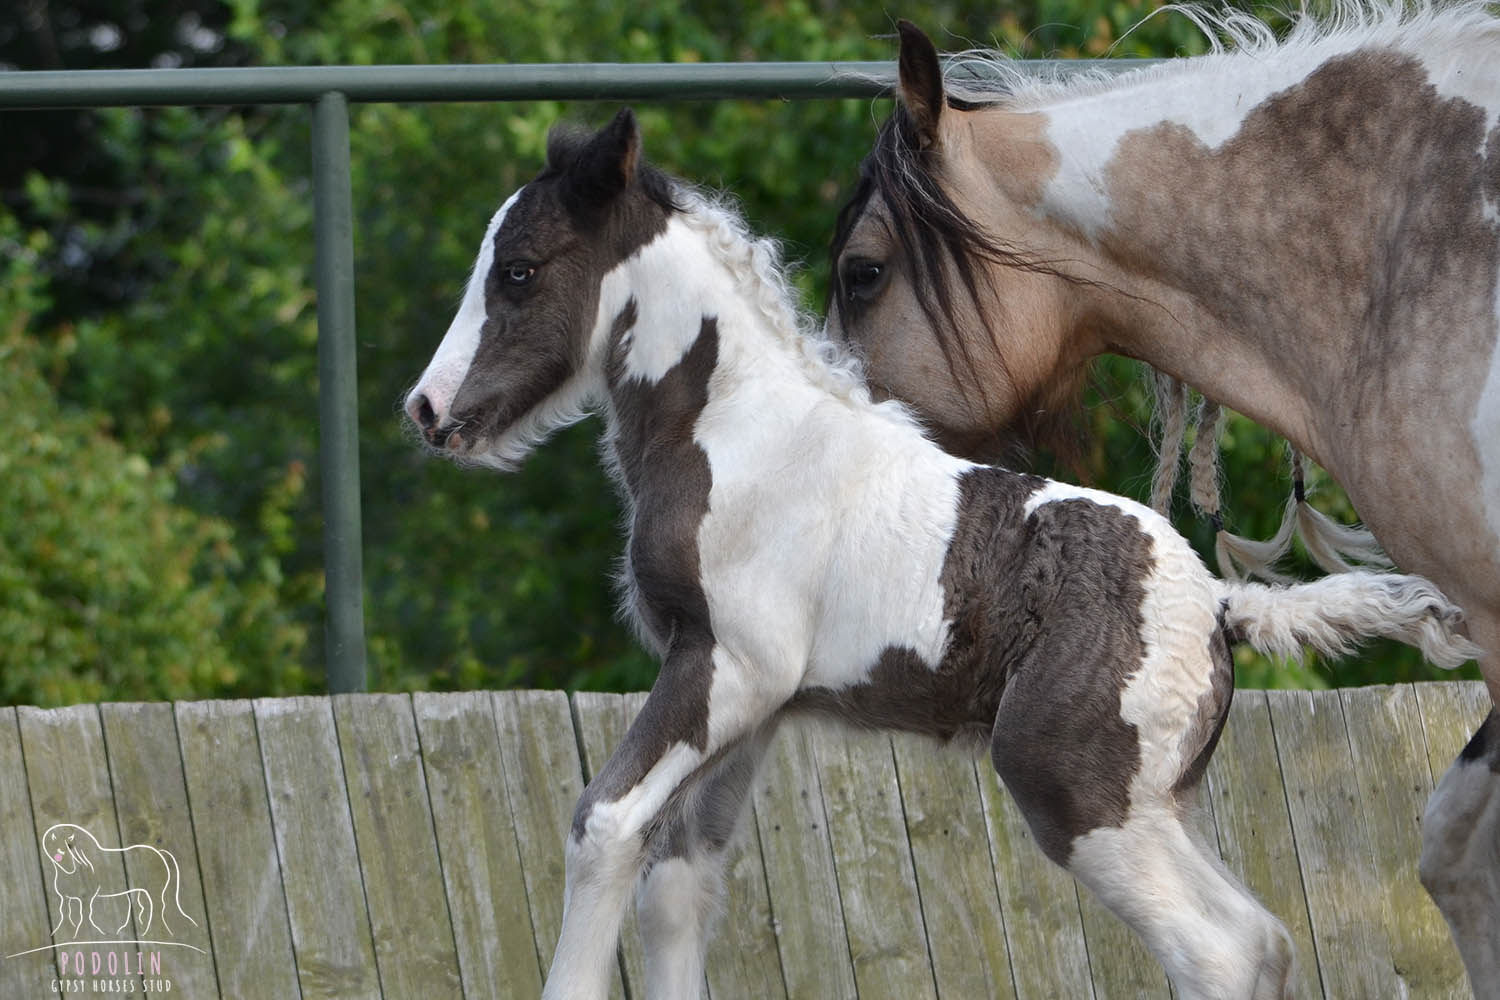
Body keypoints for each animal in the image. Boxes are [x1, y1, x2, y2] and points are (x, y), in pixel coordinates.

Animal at [405, 111, 1482, 1000]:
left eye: (520, 271)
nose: (427, 410)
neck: (735, 431)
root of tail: (1221, 604)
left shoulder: (725, 668)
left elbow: (607, 824)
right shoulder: (750, 702)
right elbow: (680, 884)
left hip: (1072, 786)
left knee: (1216, 950)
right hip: (1155, 802)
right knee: (1259, 938)